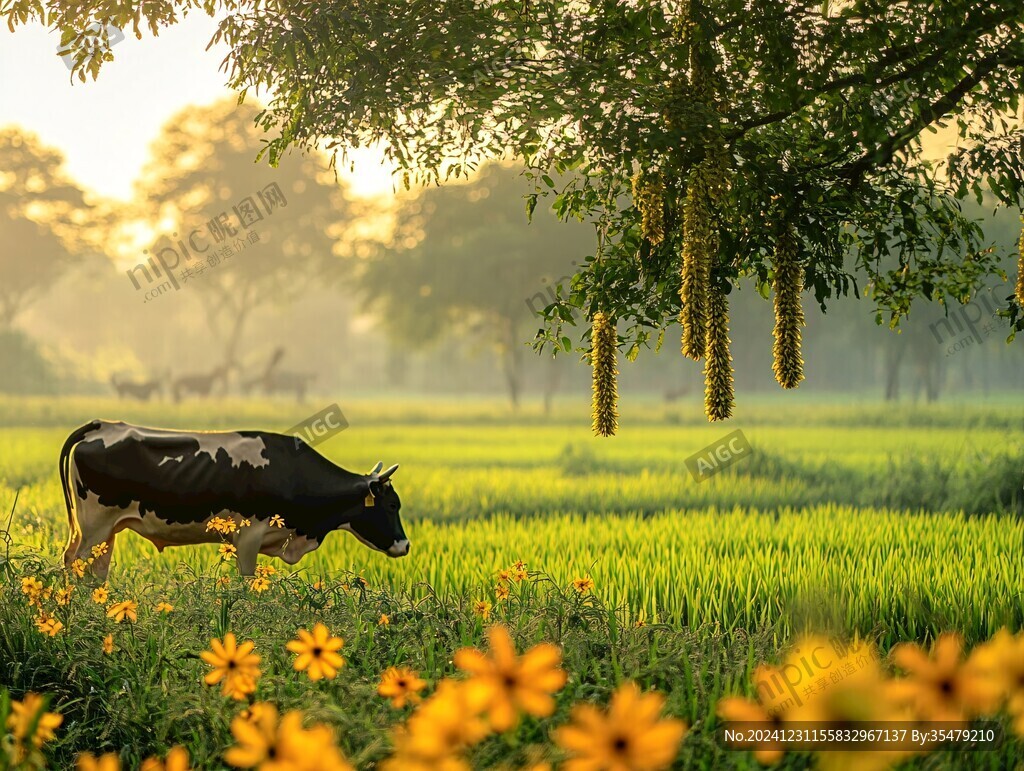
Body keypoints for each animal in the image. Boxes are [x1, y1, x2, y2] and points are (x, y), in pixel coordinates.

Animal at [58, 421, 407, 577]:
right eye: (392, 505)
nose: (406, 546)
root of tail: (101, 425)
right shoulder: (249, 536)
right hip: (95, 527)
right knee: (78, 564)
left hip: (105, 530)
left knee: (94, 569)